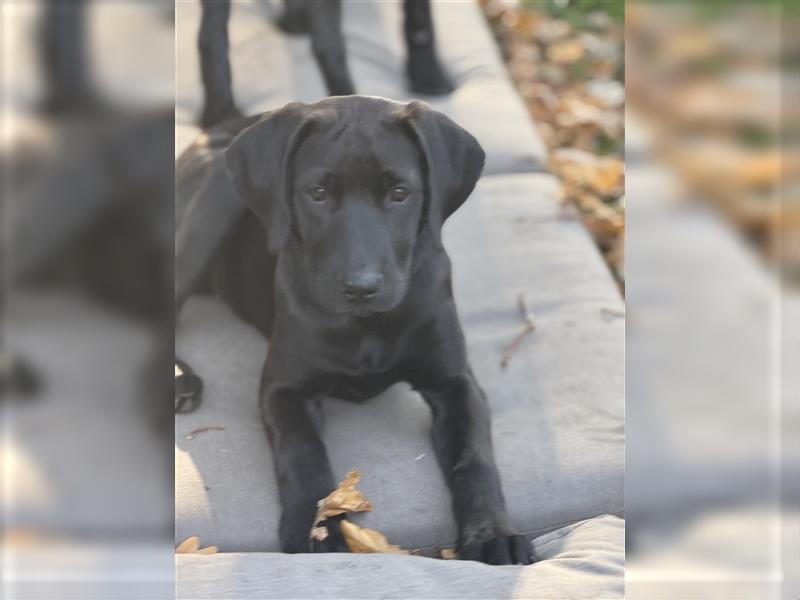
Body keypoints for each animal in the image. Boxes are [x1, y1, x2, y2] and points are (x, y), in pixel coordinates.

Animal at [178, 96, 536, 564]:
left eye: (399, 193)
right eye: (318, 193)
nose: (362, 287)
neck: (366, 326)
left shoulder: (456, 383)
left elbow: (475, 457)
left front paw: (493, 532)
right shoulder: (282, 389)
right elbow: (302, 452)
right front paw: (316, 529)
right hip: (210, 205)